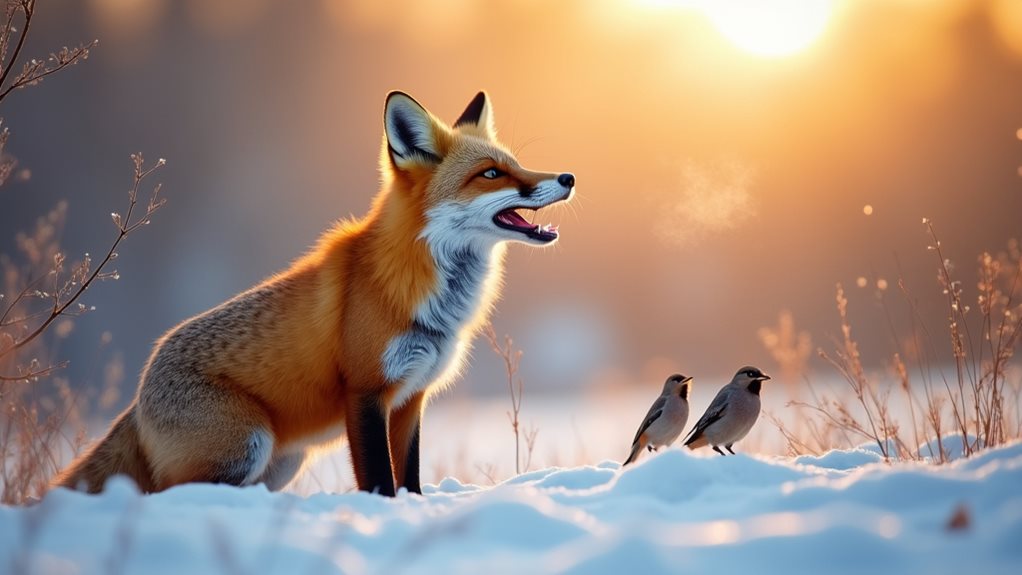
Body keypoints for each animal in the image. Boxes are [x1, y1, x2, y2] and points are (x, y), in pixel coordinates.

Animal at [52, 91, 575, 496]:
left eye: (516, 164)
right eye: (491, 174)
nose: (568, 177)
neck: (418, 287)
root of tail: (138, 396)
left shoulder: (412, 397)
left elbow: (408, 478)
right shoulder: (365, 390)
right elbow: (379, 481)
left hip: (280, 464)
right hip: (246, 446)